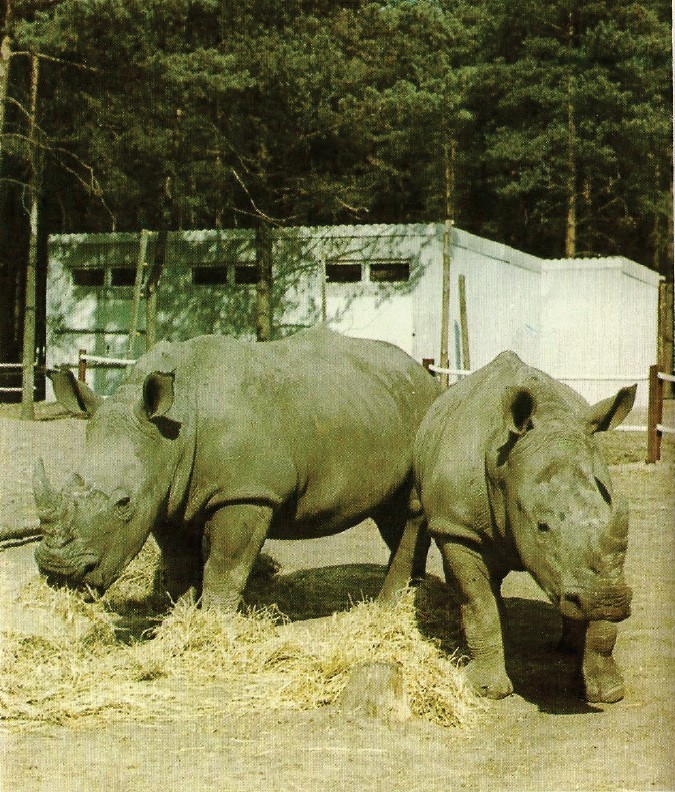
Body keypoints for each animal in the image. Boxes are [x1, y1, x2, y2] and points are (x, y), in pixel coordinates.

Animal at [34, 327, 440, 611]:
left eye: (123, 503)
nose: (58, 571)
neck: (173, 430)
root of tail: (426, 376)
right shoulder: (168, 494)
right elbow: (179, 563)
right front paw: (180, 618)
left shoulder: (246, 491)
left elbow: (225, 566)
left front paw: (215, 624)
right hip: (378, 404)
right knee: (391, 513)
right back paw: (413, 595)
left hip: (421, 409)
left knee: (409, 510)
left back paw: (386, 607)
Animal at [380, 351, 636, 704]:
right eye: (542, 527)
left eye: (617, 518)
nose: (609, 601)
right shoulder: (457, 529)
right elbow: (478, 603)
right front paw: (488, 689)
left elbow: (601, 621)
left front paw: (608, 691)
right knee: (419, 517)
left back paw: (564, 646)